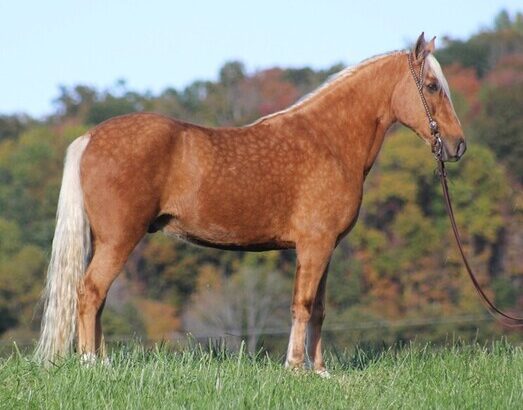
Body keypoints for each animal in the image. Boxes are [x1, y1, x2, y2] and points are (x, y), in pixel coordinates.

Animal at [35, 33, 466, 374]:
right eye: (431, 86)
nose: (458, 145)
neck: (328, 141)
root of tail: (89, 137)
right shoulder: (314, 245)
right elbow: (302, 304)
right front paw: (295, 368)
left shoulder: (326, 248)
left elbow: (319, 309)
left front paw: (320, 371)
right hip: (119, 239)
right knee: (90, 292)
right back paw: (92, 364)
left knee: (97, 296)